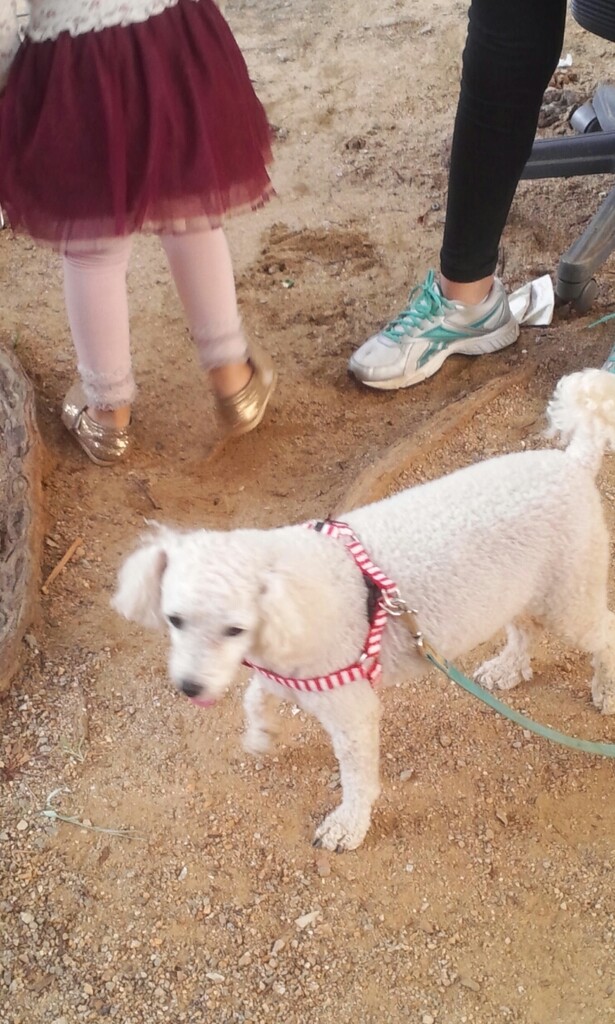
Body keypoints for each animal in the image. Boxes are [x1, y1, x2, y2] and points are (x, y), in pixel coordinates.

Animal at [113, 369, 615, 851]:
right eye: (175, 620)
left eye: (234, 629)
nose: (189, 688)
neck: (289, 602)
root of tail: (574, 461)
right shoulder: (288, 676)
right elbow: (254, 697)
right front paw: (262, 735)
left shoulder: (351, 709)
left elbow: (356, 780)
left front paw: (346, 827)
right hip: (522, 587)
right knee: (523, 627)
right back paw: (508, 668)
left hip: (569, 597)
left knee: (604, 632)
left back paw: (606, 690)